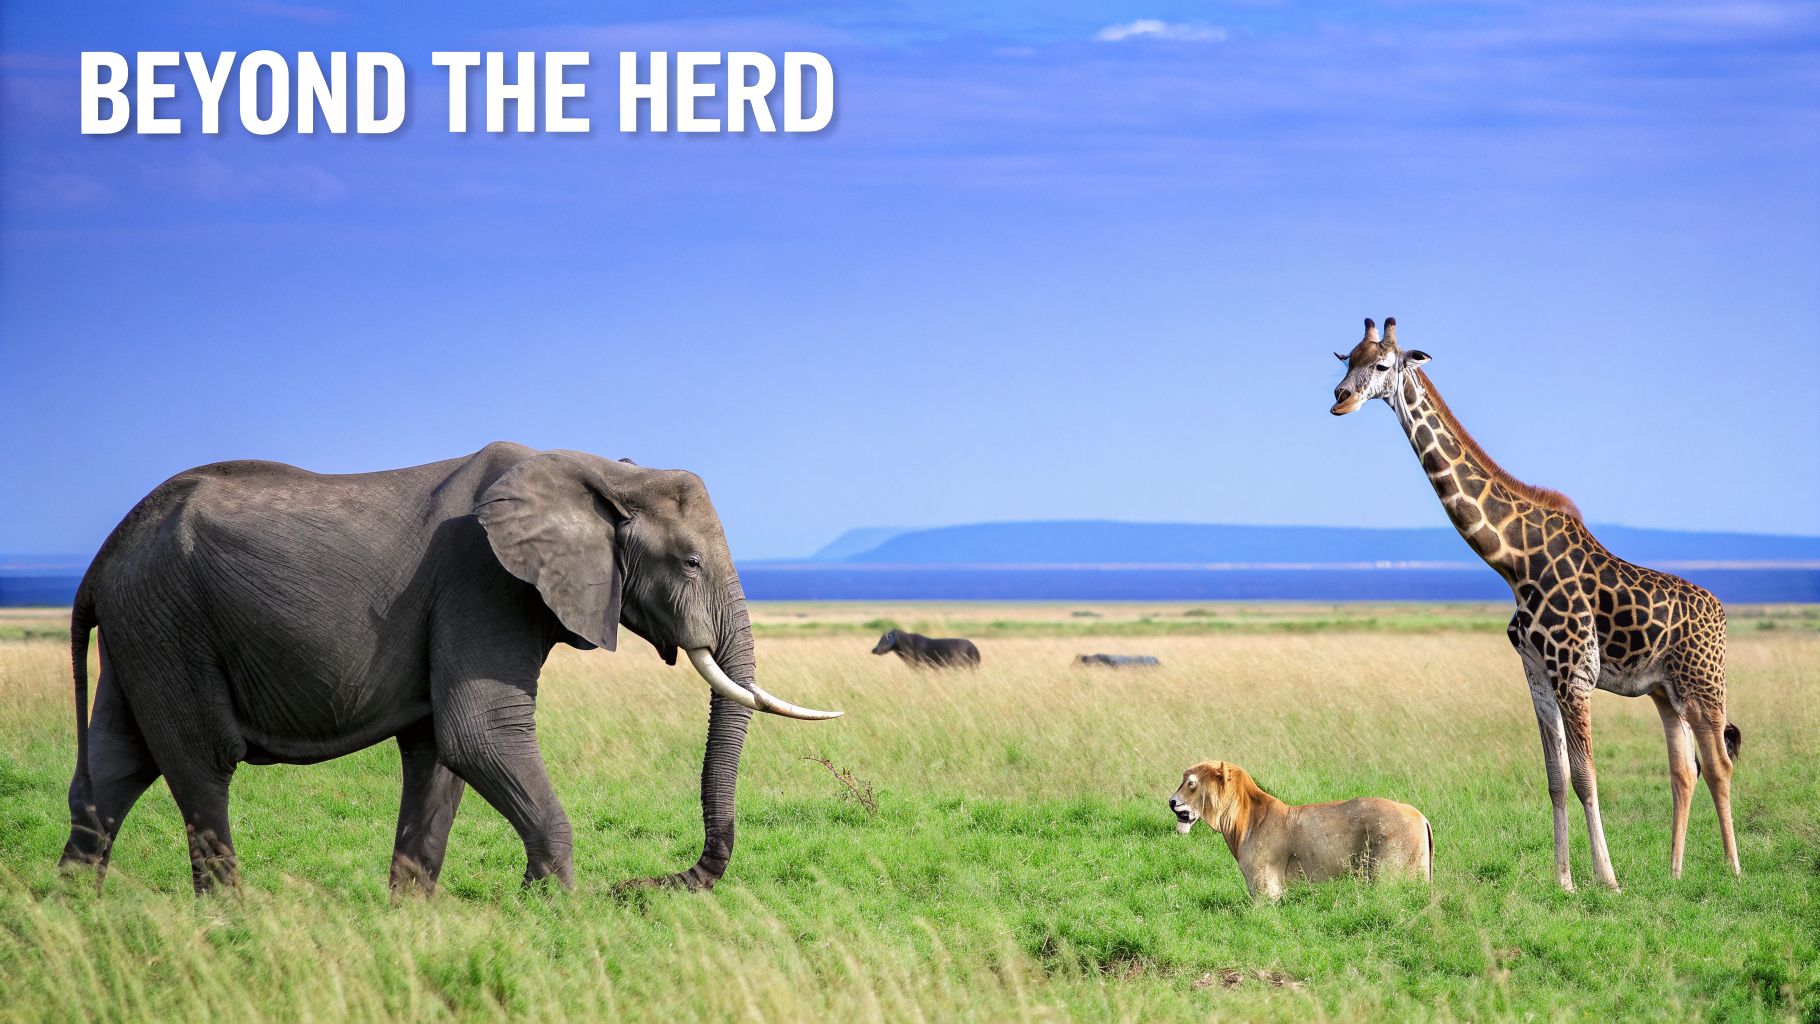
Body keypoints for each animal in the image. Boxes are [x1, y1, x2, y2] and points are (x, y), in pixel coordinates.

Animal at [58, 442, 839, 894]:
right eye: (691, 562)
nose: (636, 888)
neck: (597, 472)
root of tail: (102, 556)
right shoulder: (481, 581)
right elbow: (480, 737)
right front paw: (551, 910)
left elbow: (439, 754)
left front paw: (410, 920)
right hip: (170, 620)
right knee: (199, 764)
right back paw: (230, 921)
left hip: (145, 625)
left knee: (115, 767)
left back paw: (74, 916)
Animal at [1328, 317, 1741, 890]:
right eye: (1347, 360)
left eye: (1384, 365)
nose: (1339, 399)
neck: (1514, 564)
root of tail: (1720, 612)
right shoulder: (1537, 673)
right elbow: (1556, 777)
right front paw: (1564, 880)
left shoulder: (1575, 674)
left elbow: (1587, 777)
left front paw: (1607, 879)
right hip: (1666, 691)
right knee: (1685, 769)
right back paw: (1676, 872)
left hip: (1705, 684)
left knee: (1720, 763)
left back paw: (1733, 869)